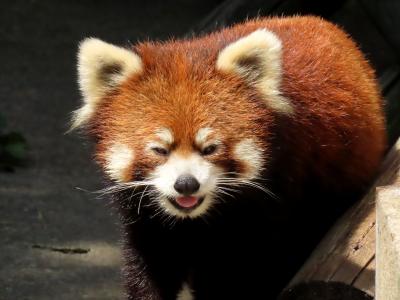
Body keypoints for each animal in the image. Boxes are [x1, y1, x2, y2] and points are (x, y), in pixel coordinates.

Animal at [73, 16, 386, 300]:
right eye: (160, 150)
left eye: (210, 148)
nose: (186, 184)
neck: (195, 220)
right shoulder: (147, 221)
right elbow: (149, 268)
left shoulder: (271, 205)